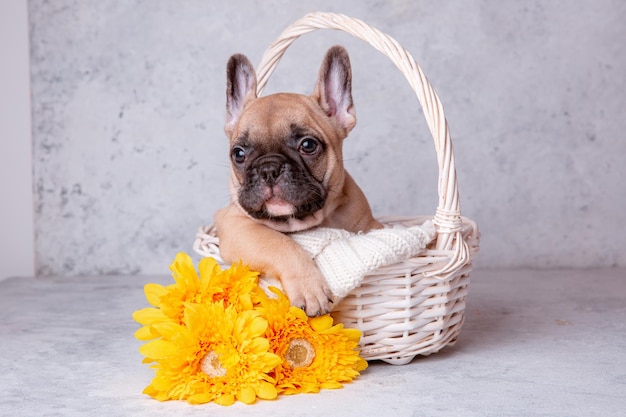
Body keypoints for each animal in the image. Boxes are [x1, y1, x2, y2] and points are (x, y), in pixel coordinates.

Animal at [214, 45, 380, 316]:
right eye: (239, 154)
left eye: (308, 145)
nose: (269, 168)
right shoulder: (234, 224)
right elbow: (277, 241)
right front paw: (309, 287)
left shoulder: (370, 225)